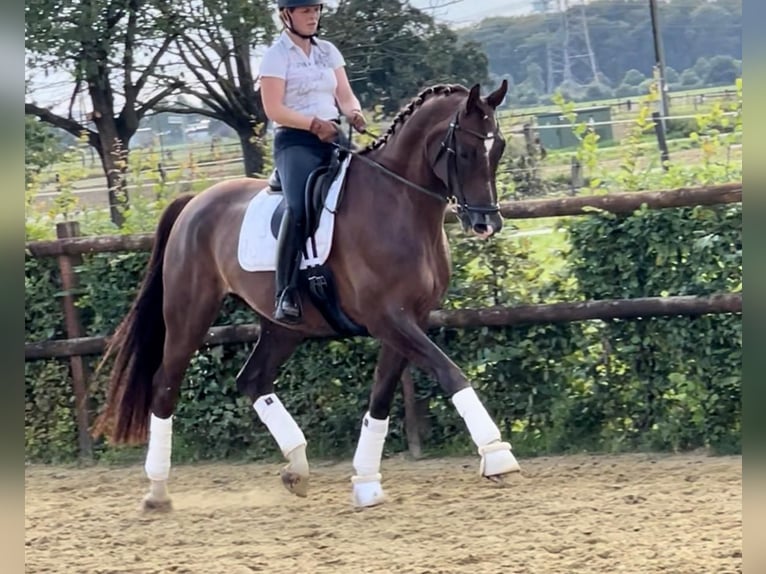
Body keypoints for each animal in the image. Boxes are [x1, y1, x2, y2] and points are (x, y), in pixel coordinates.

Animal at [93, 80, 521, 511]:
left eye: (498, 147)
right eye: (464, 151)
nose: (486, 223)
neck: (399, 204)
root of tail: (193, 203)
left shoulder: (409, 320)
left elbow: (381, 396)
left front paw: (366, 482)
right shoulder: (388, 318)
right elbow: (450, 372)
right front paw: (497, 456)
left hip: (283, 327)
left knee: (253, 379)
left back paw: (296, 469)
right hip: (189, 315)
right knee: (165, 386)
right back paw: (157, 491)